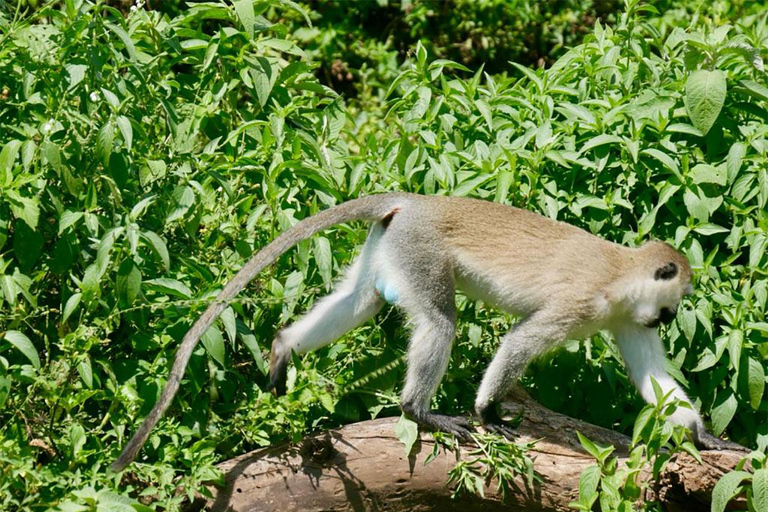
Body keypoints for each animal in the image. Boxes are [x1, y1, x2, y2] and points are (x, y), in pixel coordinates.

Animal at [111, 193, 740, 472]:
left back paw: (284, 347)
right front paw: (487, 411)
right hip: (419, 248)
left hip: (391, 243)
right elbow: (521, 341)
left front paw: (703, 436)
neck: (621, 279)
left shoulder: (625, 318)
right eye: (675, 304)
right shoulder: (581, 303)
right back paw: (420, 411)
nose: (667, 319)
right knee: (439, 320)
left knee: (361, 301)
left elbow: (653, 376)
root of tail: (414, 200)